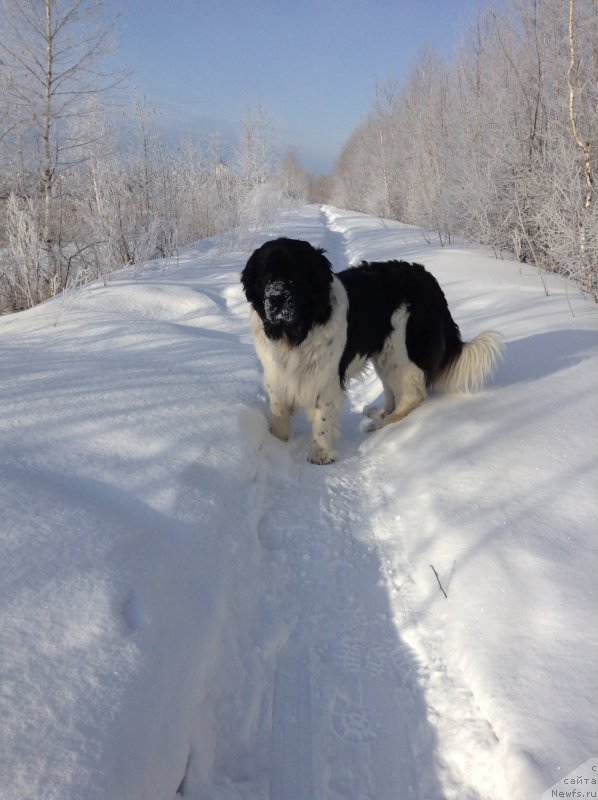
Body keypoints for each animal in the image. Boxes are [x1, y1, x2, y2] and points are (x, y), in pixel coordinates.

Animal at [241, 234, 504, 466]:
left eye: (294, 276)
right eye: (265, 275)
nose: (275, 299)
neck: (297, 329)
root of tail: (428, 278)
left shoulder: (327, 375)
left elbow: (323, 417)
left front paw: (321, 454)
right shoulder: (277, 373)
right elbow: (279, 410)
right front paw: (277, 442)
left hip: (401, 349)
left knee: (413, 393)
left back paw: (382, 426)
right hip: (384, 352)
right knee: (392, 389)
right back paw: (380, 413)